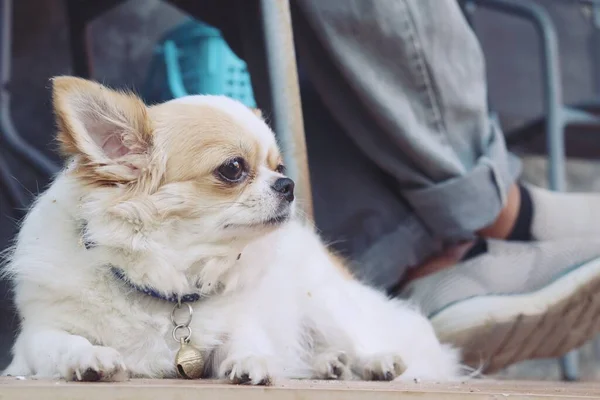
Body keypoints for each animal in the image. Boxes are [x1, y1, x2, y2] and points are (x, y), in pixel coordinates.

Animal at [2, 77, 462, 384]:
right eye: (233, 168)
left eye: (279, 166)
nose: (288, 184)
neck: (169, 286)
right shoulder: (33, 341)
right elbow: (61, 343)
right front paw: (88, 358)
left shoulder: (240, 324)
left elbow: (245, 341)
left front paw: (251, 361)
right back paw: (327, 365)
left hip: (325, 301)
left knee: (356, 336)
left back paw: (373, 361)